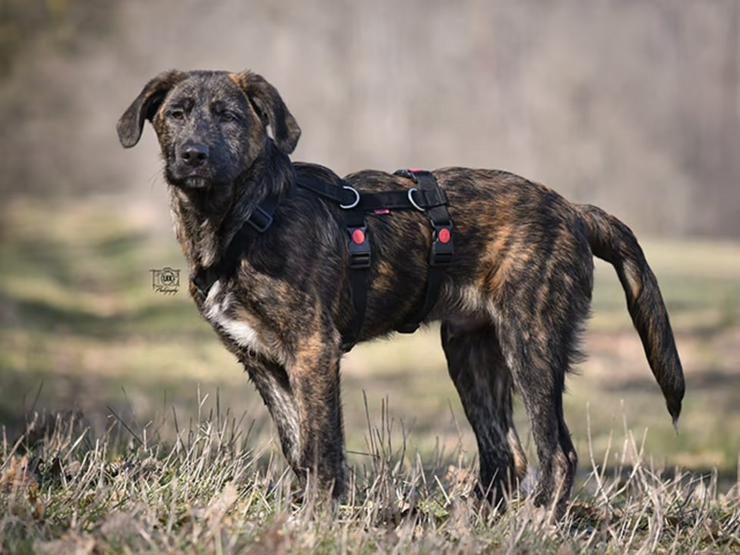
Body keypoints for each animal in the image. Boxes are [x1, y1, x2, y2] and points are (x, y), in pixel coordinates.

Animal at [118, 69, 684, 516]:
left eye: (230, 117)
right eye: (176, 113)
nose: (194, 155)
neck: (249, 216)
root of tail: (572, 208)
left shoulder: (314, 351)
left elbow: (322, 449)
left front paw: (316, 520)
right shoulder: (261, 362)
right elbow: (296, 447)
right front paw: (299, 513)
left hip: (531, 343)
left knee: (557, 454)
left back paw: (536, 523)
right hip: (470, 353)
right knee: (506, 454)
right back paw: (475, 524)